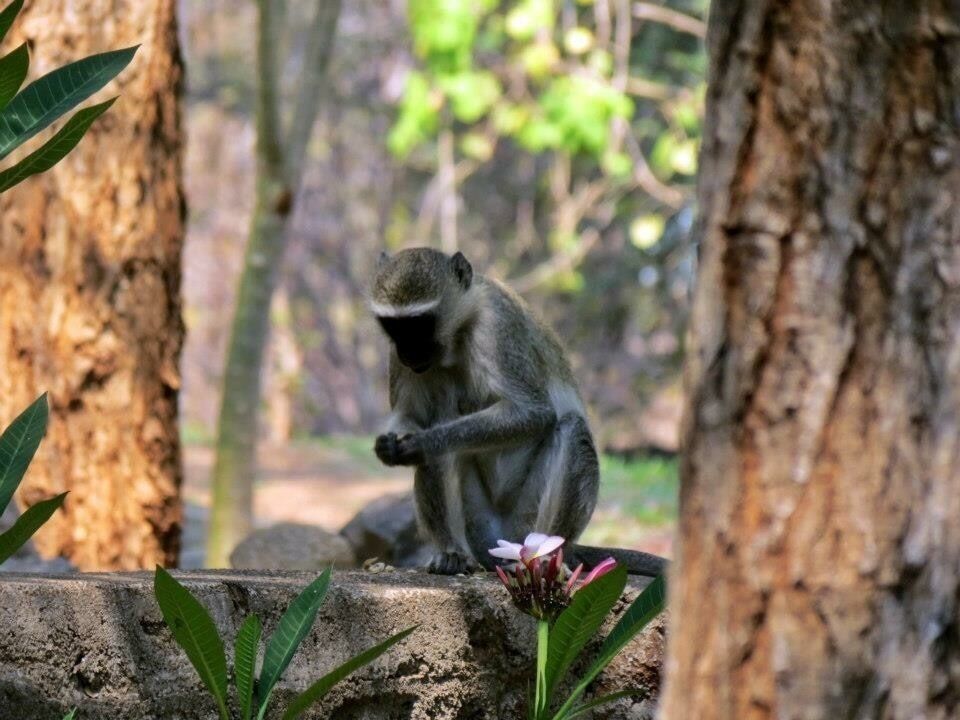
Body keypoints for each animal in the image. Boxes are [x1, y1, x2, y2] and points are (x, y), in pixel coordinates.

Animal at [369, 247, 667, 577]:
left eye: (420, 324)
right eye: (394, 327)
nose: (408, 353)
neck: (458, 333)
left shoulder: (498, 326)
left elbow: (533, 412)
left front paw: (422, 442)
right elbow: (412, 417)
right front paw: (390, 445)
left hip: (525, 521)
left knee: (572, 428)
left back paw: (548, 557)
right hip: (480, 525)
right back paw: (451, 552)